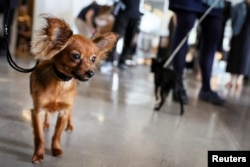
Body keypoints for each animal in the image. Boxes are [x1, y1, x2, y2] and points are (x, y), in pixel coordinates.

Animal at [29, 16, 117, 163]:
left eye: (93, 59)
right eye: (76, 56)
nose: (91, 73)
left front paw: (56, 149)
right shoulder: (37, 111)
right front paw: (38, 155)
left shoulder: (64, 111)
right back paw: (46, 123)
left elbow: (57, 134)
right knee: (48, 115)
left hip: (71, 104)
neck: (60, 83)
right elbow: (39, 137)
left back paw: (69, 126)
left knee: (71, 112)